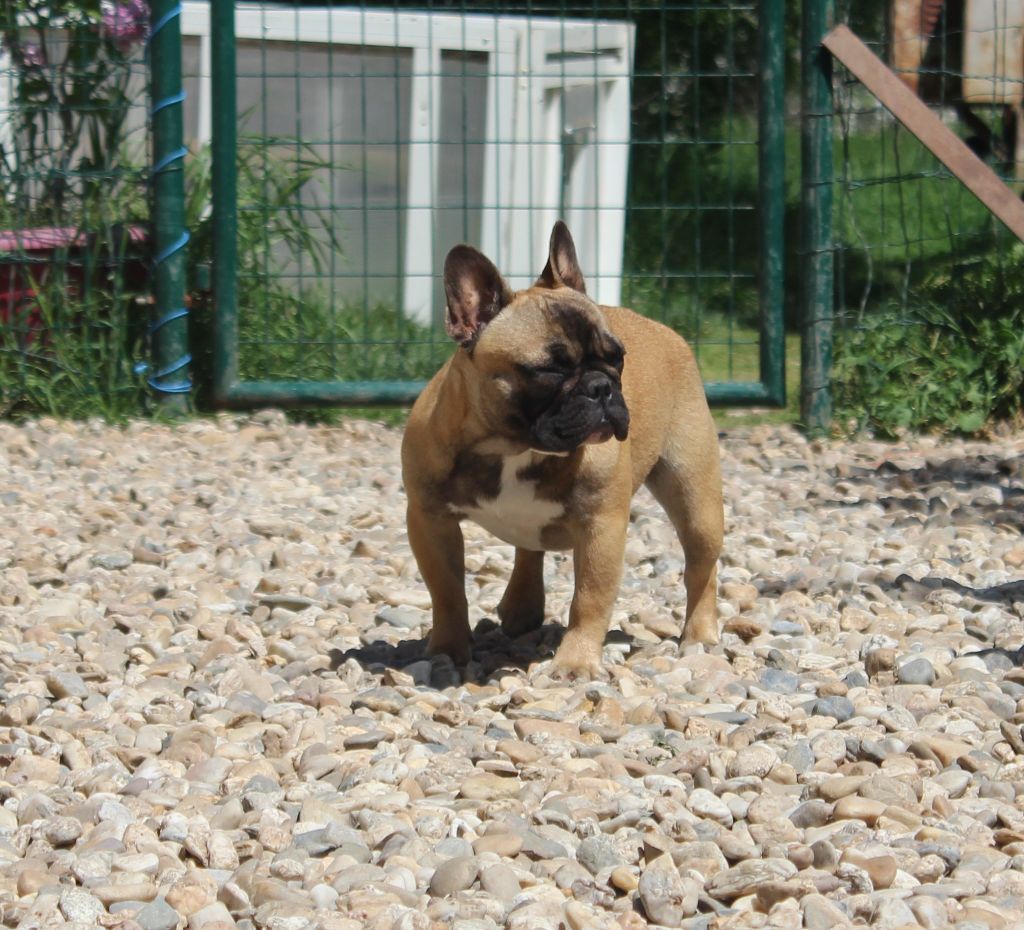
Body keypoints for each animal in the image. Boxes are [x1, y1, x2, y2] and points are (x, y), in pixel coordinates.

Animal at [401, 221, 723, 677]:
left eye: (618, 358)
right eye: (549, 370)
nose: (602, 387)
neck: (514, 447)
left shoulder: (601, 526)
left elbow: (590, 599)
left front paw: (576, 662)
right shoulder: (430, 520)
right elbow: (446, 592)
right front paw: (447, 650)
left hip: (696, 499)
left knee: (701, 567)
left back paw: (700, 634)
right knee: (528, 548)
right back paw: (520, 608)